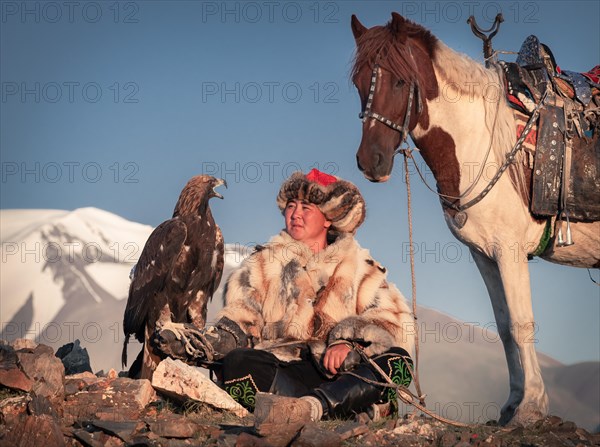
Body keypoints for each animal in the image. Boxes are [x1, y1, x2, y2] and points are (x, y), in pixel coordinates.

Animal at [352, 13, 600, 428]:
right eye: (358, 82)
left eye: (400, 81)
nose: (371, 162)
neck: (482, 139)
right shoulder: (484, 255)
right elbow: (503, 327)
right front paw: (512, 404)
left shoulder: (510, 249)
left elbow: (521, 322)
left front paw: (531, 406)